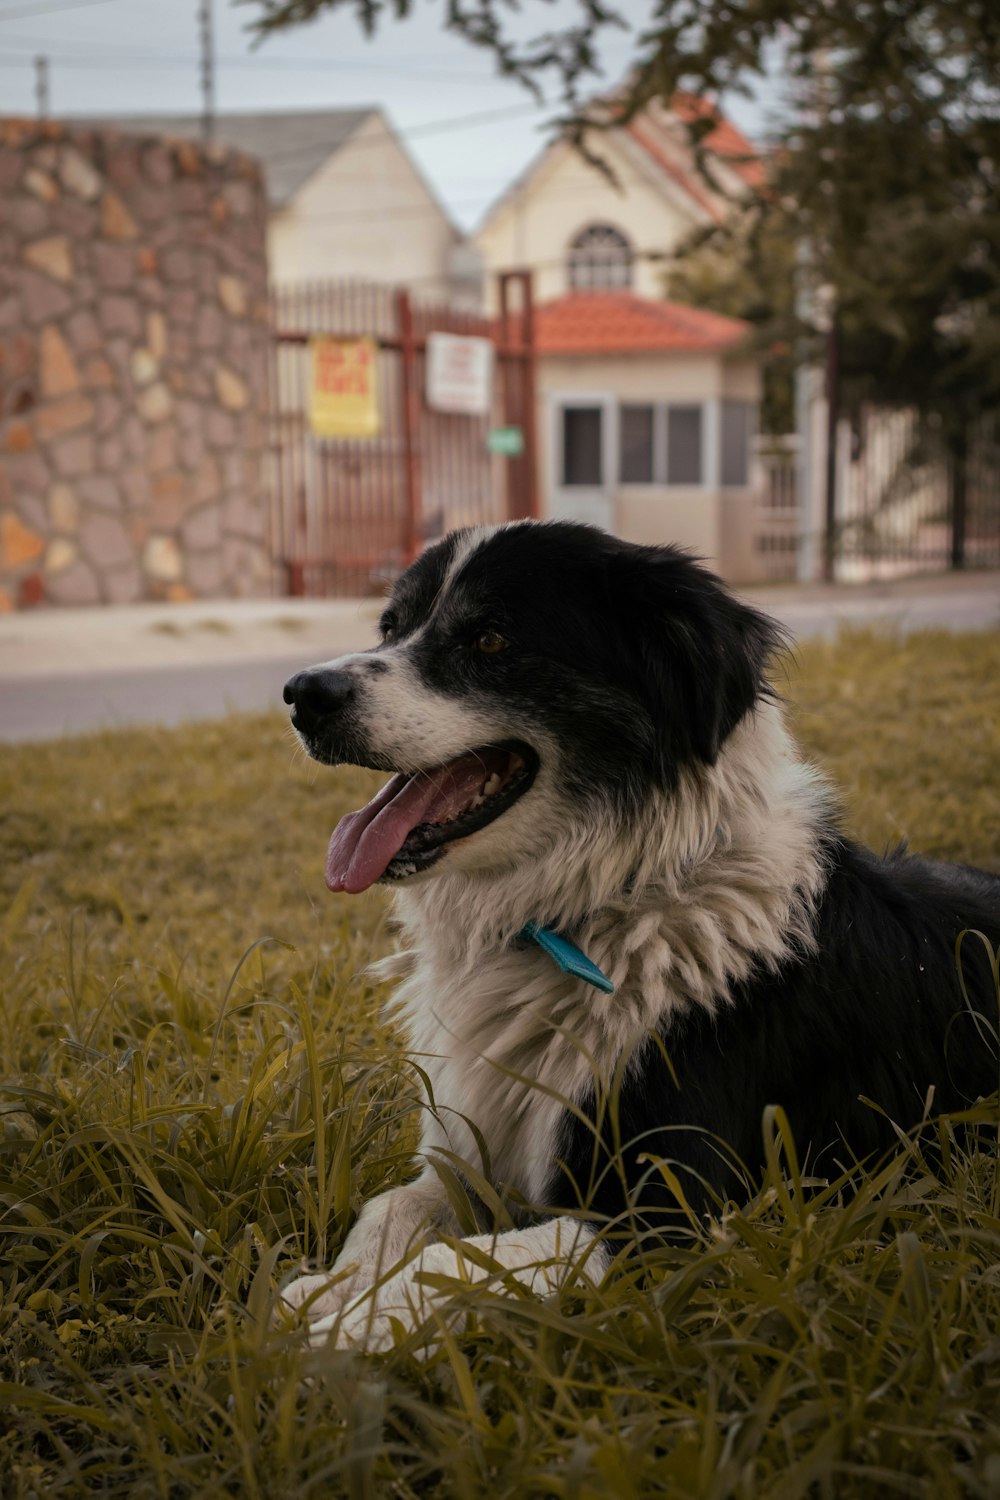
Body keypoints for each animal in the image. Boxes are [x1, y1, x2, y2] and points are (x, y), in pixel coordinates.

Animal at [281, 525, 1000, 1350]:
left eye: (490, 639)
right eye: (391, 627)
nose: (302, 694)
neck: (598, 906)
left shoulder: (667, 1212)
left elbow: (456, 1260)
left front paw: (352, 1330)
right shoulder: (472, 1150)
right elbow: (391, 1206)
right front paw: (330, 1290)